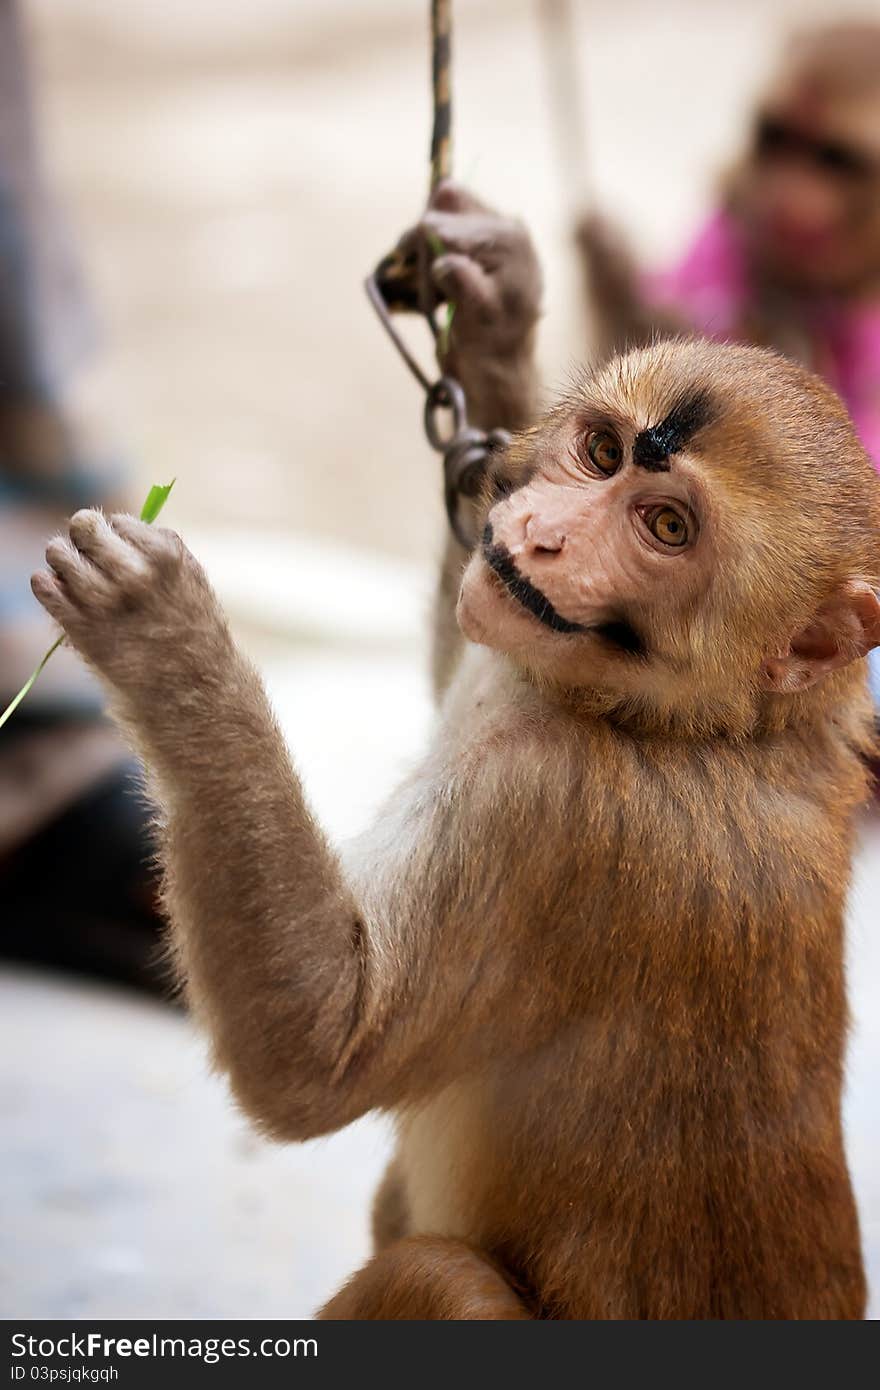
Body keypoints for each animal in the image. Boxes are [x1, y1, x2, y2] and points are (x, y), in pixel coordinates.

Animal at [30, 330, 873, 1317]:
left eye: (667, 527)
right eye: (602, 452)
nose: (543, 536)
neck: (717, 725)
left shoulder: (545, 810)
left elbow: (319, 1055)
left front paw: (161, 635)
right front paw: (490, 328)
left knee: (436, 1276)